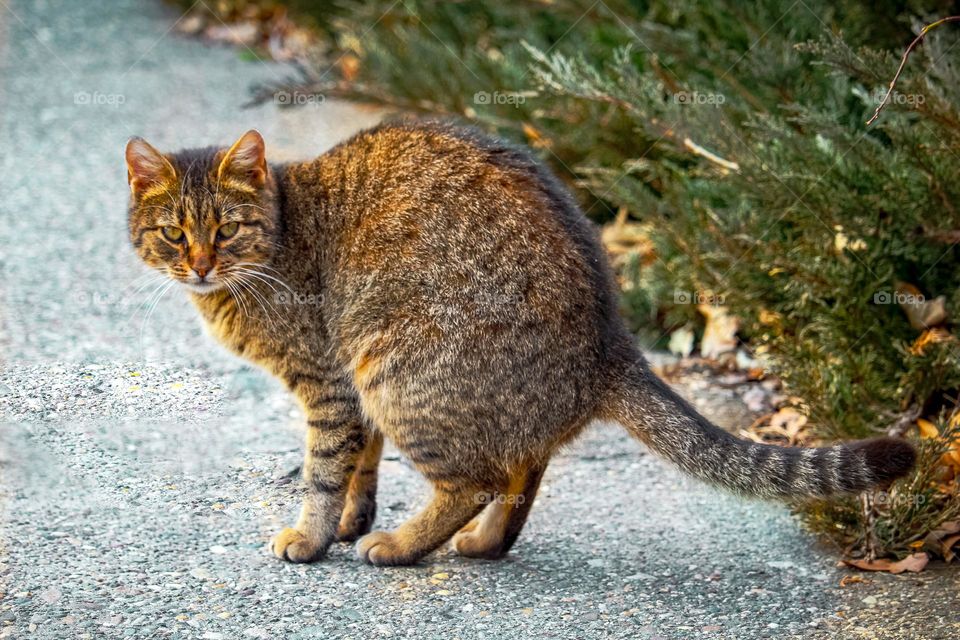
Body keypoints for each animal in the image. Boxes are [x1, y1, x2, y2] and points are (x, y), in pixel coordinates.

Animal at [125, 121, 916, 564]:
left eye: (226, 229)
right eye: (174, 233)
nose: (200, 264)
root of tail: (611, 343)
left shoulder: (333, 380)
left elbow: (325, 471)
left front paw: (317, 535)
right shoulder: (347, 389)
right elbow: (360, 464)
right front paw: (352, 518)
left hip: (398, 366)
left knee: (474, 479)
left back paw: (405, 546)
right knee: (523, 464)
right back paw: (483, 543)